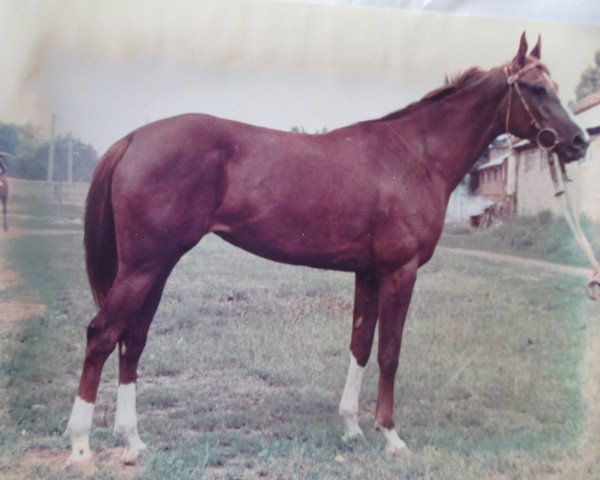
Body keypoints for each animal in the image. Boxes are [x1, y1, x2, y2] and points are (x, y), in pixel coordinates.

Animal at [63, 34, 588, 464]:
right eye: (536, 88)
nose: (579, 141)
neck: (415, 156)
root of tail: (135, 138)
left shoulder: (368, 273)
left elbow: (360, 345)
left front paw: (352, 428)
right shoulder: (400, 271)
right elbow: (390, 351)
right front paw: (390, 435)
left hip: (156, 266)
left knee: (133, 339)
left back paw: (133, 441)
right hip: (144, 266)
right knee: (102, 334)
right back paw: (81, 445)